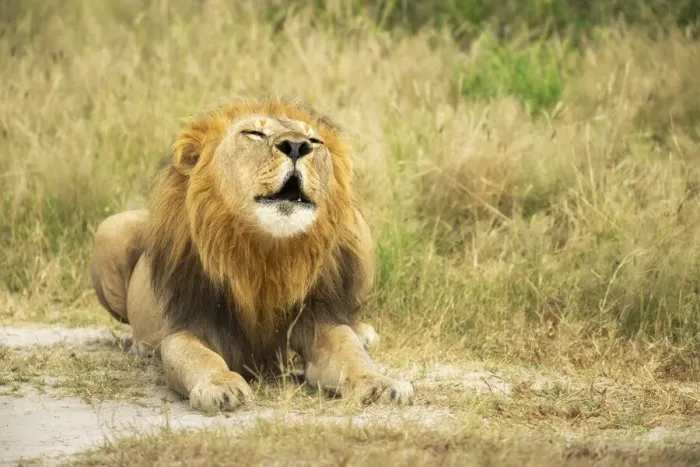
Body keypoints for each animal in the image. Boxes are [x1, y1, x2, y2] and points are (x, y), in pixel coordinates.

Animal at [90, 98, 414, 412]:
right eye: (254, 133)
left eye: (314, 140)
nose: (297, 146)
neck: (266, 251)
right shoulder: (188, 326)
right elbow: (198, 358)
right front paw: (221, 386)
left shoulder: (318, 321)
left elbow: (351, 353)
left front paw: (380, 383)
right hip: (108, 229)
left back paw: (364, 333)